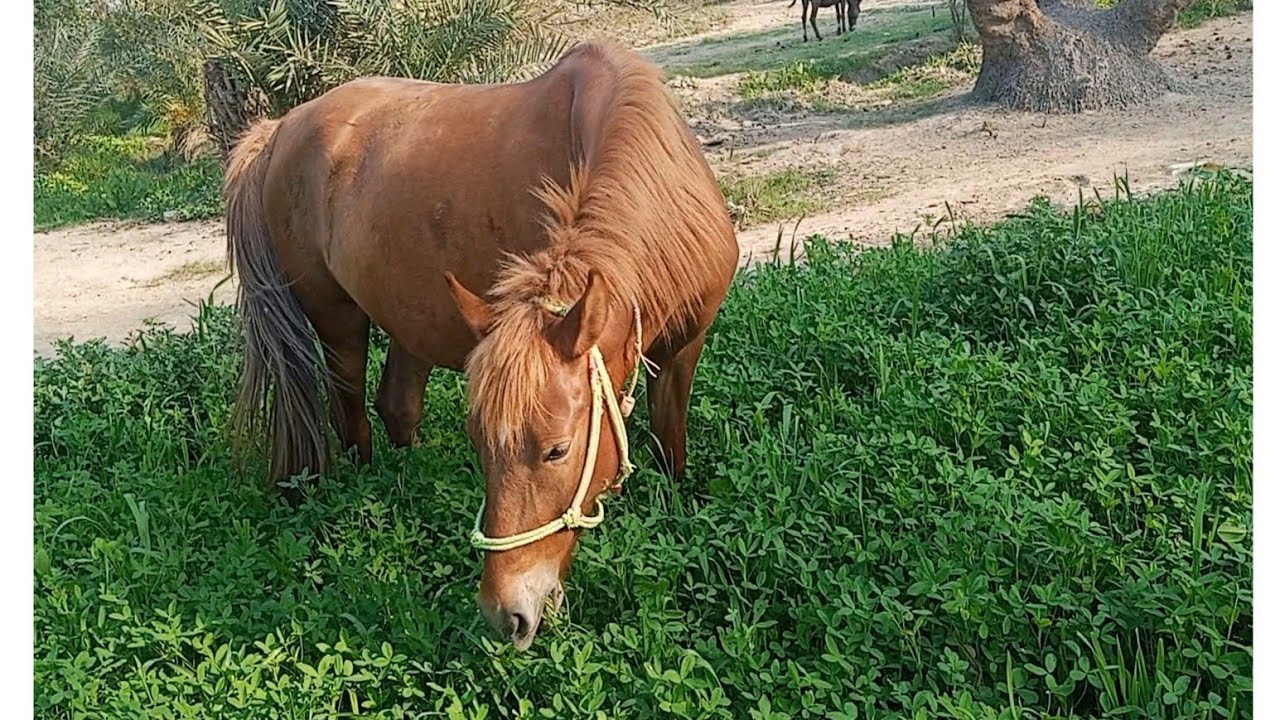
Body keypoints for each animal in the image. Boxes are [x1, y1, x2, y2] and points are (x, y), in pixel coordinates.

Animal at [223, 41, 739, 651]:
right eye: (480, 445)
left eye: (557, 450)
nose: (505, 613)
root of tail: (278, 130)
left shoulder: (683, 350)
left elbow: (670, 448)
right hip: (338, 323)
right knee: (351, 417)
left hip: (411, 320)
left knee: (396, 406)